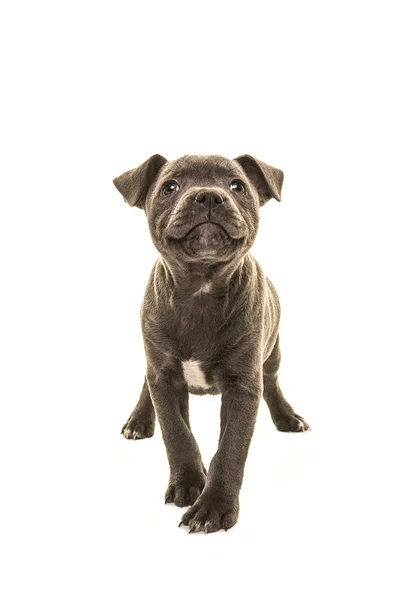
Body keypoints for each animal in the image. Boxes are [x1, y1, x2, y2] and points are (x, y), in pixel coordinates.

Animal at [112, 152, 310, 532]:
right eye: (170, 187)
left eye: (237, 186)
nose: (208, 196)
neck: (200, 290)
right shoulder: (165, 377)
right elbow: (177, 435)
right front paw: (189, 482)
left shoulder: (243, 385)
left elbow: (231, 448)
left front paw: (214, 506)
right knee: (146, 383)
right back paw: (139, 420)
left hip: (272, 352)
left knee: (273, 382)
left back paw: (287, 417)